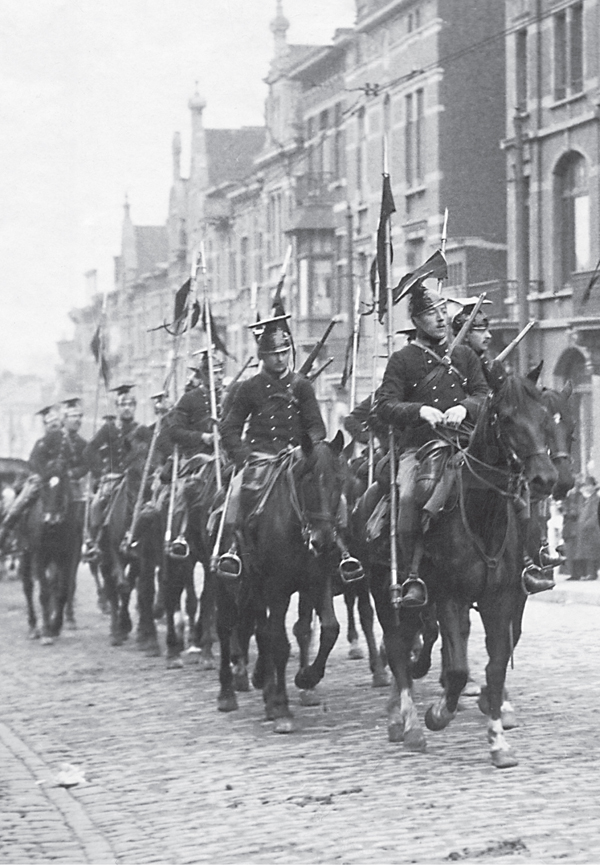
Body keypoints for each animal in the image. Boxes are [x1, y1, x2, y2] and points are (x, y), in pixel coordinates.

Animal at [19, 470, 78, 644]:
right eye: (43, 487)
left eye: (63, 486)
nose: (51, 520)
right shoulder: (39, 556)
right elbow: (44, 593)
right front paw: (46, 632)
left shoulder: (67, 556)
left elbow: (63, 590)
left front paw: (55, 627)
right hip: (25, 554)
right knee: (28, 587)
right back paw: (33, 627)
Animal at [216, 432, 346, 728]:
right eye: (308, 480)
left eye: (339, 480)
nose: (324, 542)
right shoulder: (277, 589)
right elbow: (280, 644)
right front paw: (282, 707)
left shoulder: (317, 581)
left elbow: (329, 628)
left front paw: (306, 677)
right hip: (227, 585)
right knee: (226, 628)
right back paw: (227, 694)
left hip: (255, 589)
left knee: (260, 630)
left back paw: (263, 684)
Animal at [368, 374, 560, 768]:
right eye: (506, 418)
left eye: (545, 417)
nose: (545, 479)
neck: (481, 514)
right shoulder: (449, 598)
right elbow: (457, 669)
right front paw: (438, 714)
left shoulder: (501, 599)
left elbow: (496, 665)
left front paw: (498, 738)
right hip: (386, 594)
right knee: (396, 649)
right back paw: (407, 723)